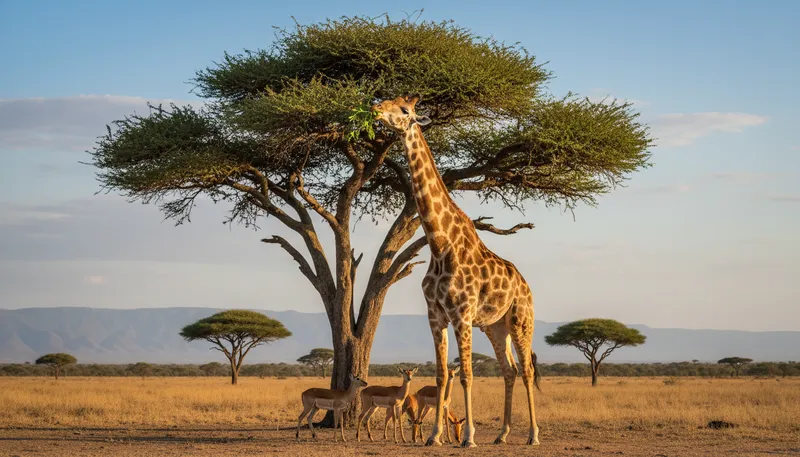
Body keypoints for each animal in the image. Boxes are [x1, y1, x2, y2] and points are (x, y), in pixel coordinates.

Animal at [372, 94, 541, 448]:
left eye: (405, 110)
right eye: (390, 99)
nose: (375, 108)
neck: (440, 245)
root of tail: (526, 285)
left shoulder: (462, 314)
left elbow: (465, 374)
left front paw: (469, 437)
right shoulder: (436, 315)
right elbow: (440, 374)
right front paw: (434, 436)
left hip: (521, 320)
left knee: (527, 370)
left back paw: (533, 435)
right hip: (495, 327)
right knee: (509, 370)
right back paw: (503, 434)